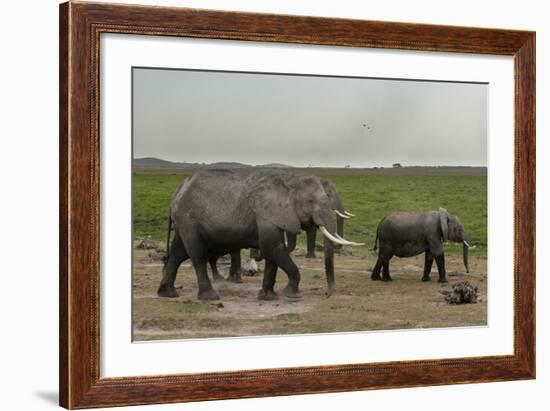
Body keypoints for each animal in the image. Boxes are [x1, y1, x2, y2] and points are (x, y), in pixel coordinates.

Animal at [155, 169, 364, 300]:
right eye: (311, 201)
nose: (327, 294)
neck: (290, 180)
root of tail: (176, 194)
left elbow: (273, 253)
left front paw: (268, 297)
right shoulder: (266, 213)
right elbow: (271, 248)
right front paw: (292, 294)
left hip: (184, 221)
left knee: (177, 253)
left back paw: (167, 293)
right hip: (189, 219)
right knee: (197, 255)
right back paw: (210, 297)